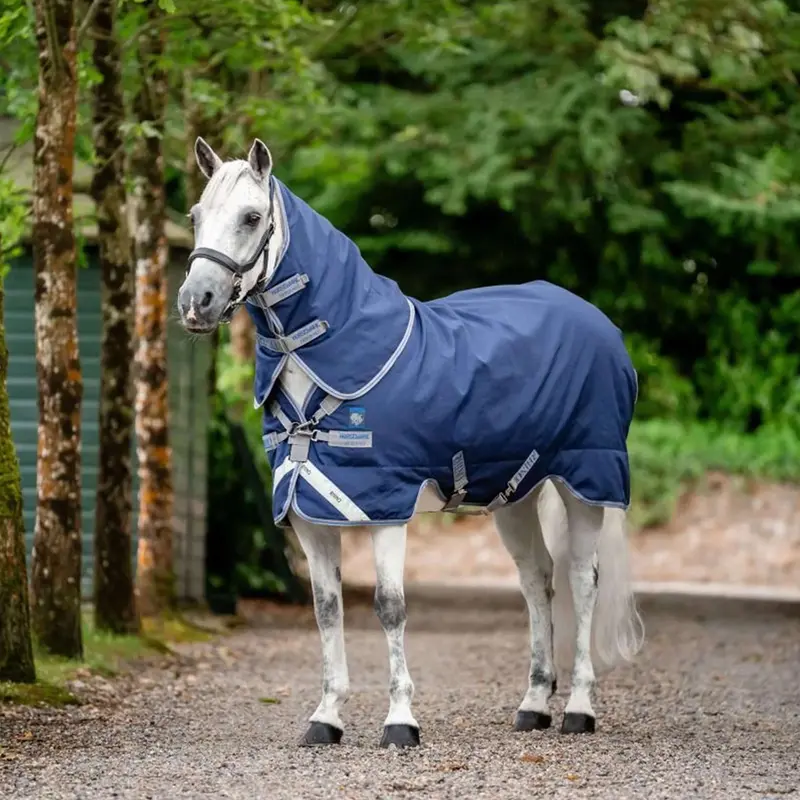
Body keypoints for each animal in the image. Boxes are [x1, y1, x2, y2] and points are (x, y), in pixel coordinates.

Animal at [177, 137, 645, 748]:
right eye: (196, 216)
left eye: (252, 217)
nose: (196, 302)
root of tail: (600, 323)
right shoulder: (308, 513)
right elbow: (327, 610)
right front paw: (326, 717)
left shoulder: (385, 509)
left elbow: (390, 607)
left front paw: (400, 720)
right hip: (516, 496)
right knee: (536, 581)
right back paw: (534, 705)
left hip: (585, 484)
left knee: (582, 582)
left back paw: (579, 710)